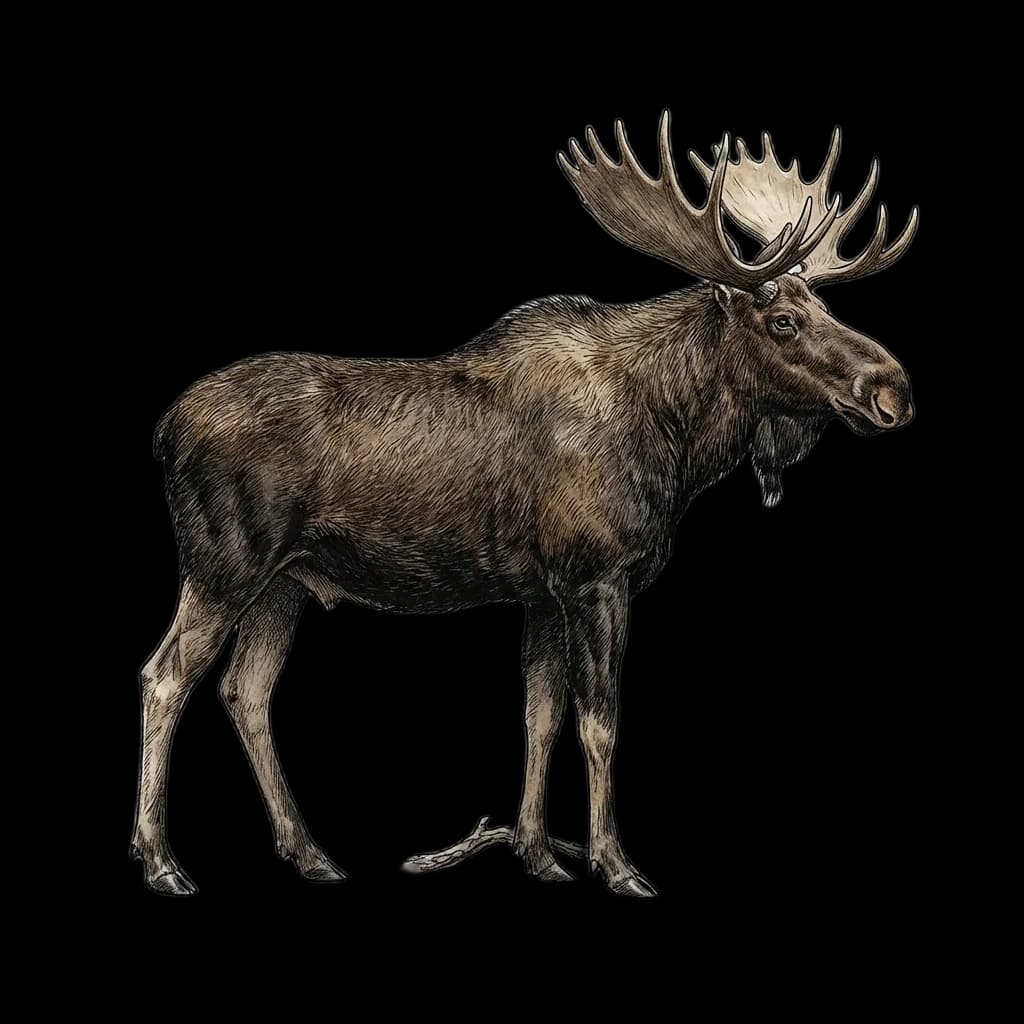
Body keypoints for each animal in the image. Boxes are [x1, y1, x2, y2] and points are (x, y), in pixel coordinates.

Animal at [131, 111, 918, 896]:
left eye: (826, 306)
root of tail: (164, 431)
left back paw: (309, 852)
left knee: (246, 691)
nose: (893, 389)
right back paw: (162, 860)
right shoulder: (596, 577)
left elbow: (540, 716)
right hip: (224, 566)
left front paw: (540, 854)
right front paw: (616, 864)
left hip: (286, 583)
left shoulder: (542, 592)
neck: (675, 439)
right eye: (782, 321)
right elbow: (599, 721)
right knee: (165, 677)